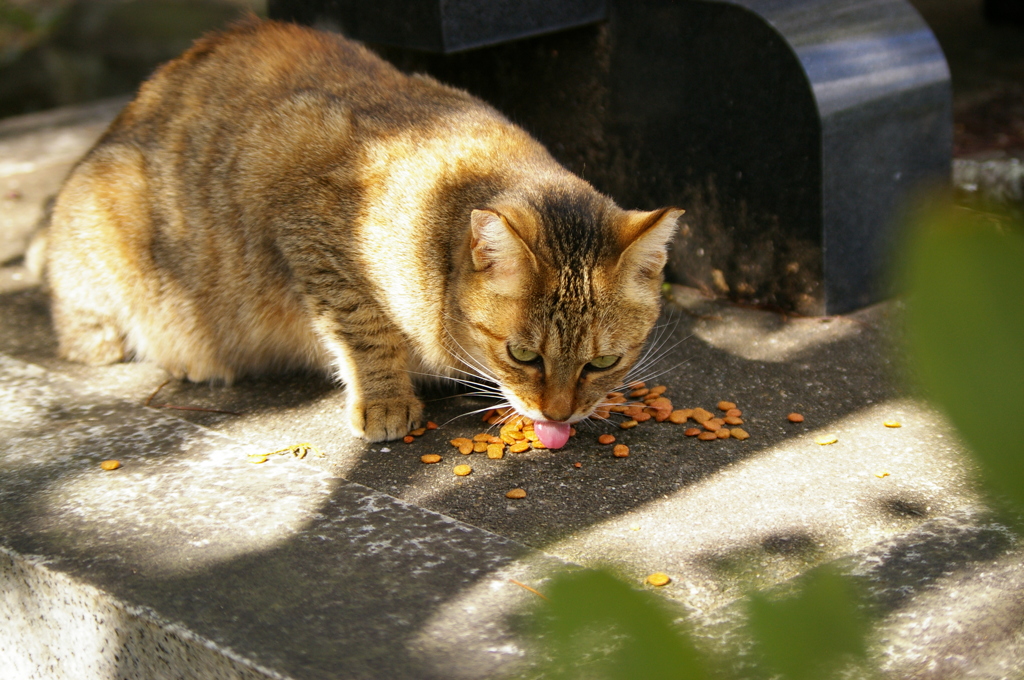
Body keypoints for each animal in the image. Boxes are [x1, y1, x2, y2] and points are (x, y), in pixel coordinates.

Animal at [46, 15, 679, 446]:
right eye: (523, 355)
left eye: (603, 363)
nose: (559, 414)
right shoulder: (307, 225)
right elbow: (363, 328)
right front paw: (386, 400)